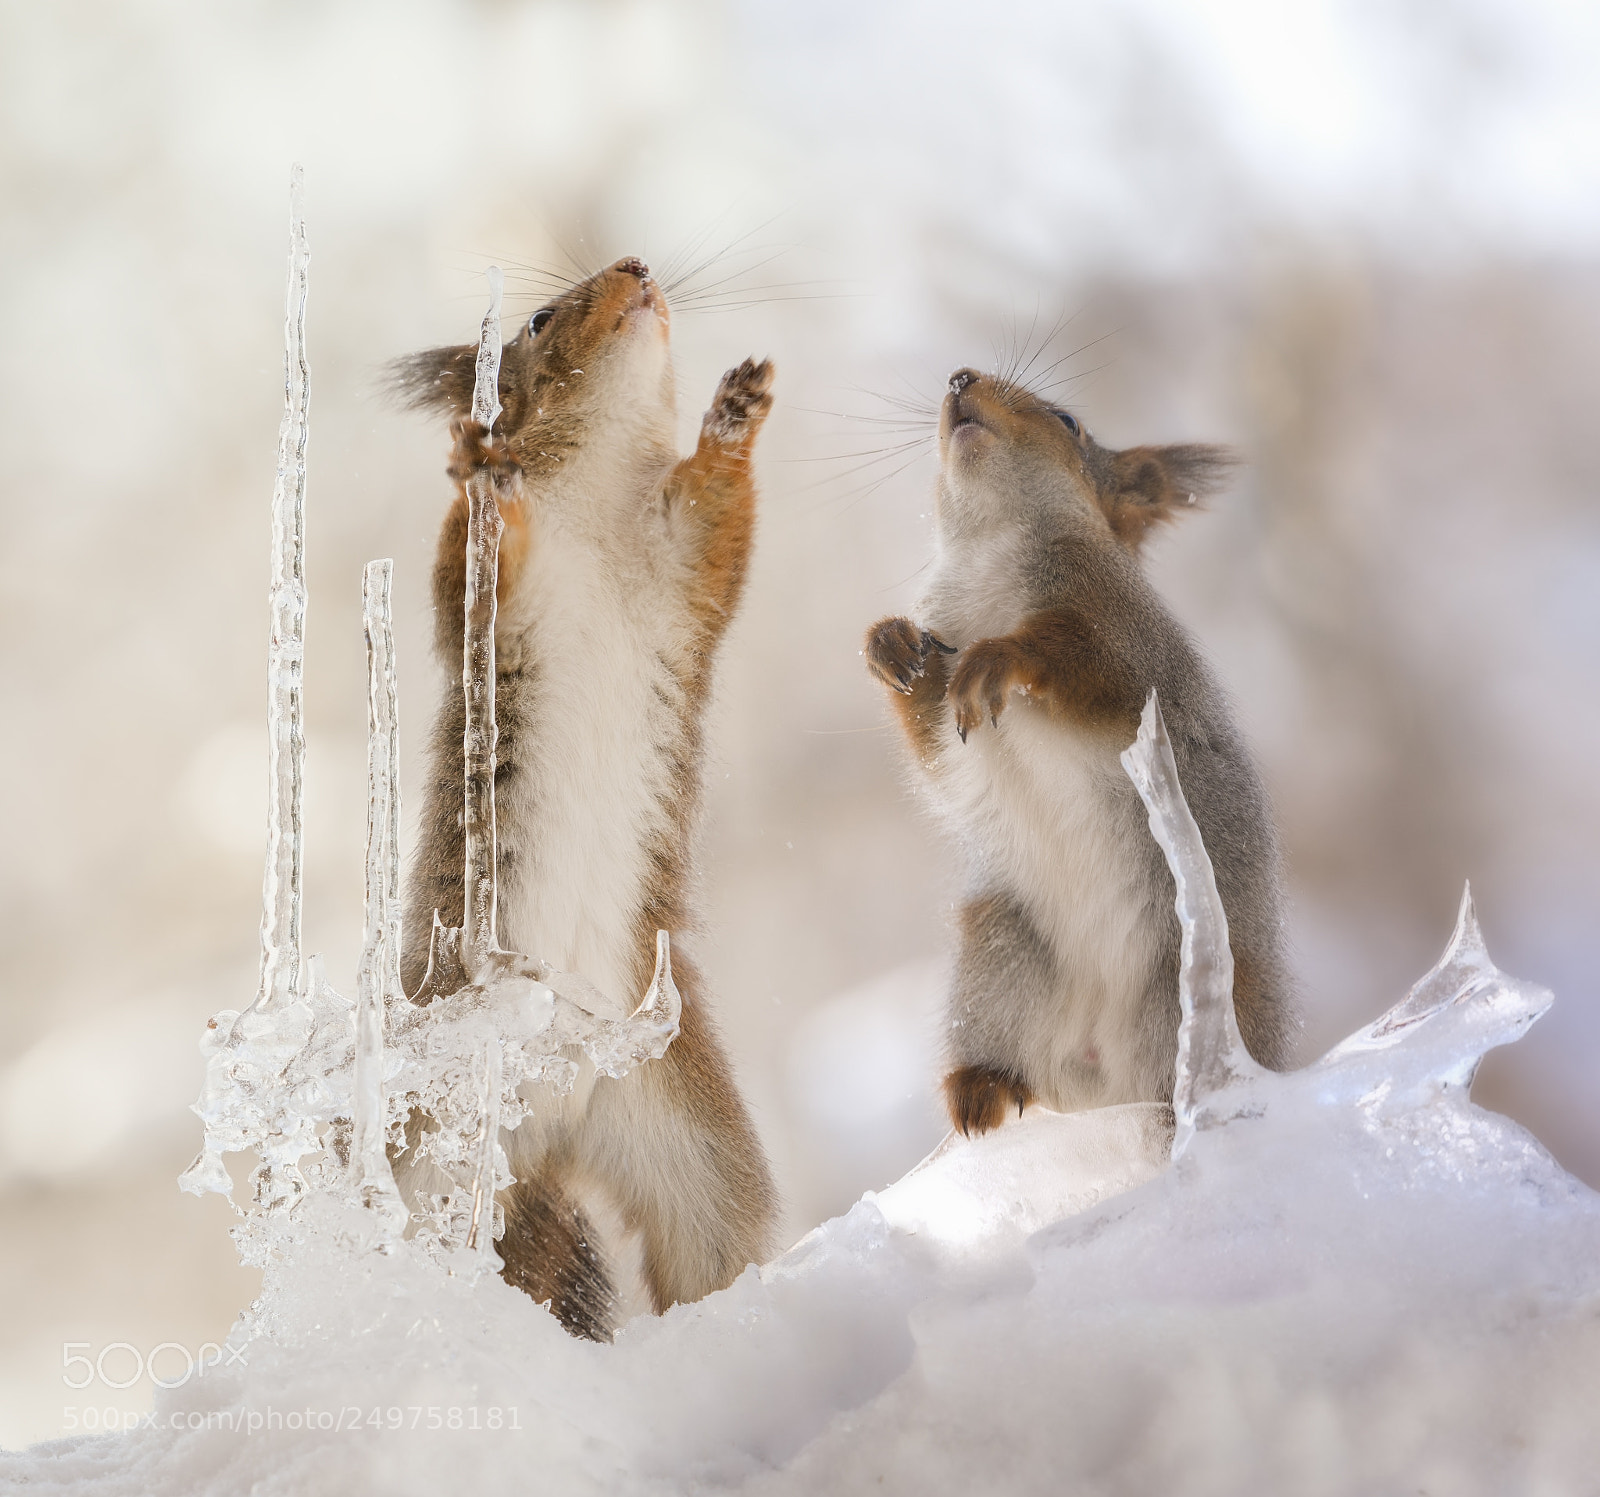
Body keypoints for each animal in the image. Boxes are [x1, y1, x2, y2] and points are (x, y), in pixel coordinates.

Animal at [390, 256, 777, 1340]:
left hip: (681, 1126)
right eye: (537, 318)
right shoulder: (486, 608)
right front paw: (485, 478)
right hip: (439, 1150)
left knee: (715, 1241)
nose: (639, 269)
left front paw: (736, 412)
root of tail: (550, 1129)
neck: (598, 483)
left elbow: (720, 518)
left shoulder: (682, 563)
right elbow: (467, 570)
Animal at [864, 367, 1294, 1138]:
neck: (989, 550)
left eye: (1067, 421)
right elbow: (934, 743)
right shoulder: (948, 709)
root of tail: (1104, 1081)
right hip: (1003, 948)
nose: (960, 377)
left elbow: (1084, 663)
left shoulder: (1122, 634)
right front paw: (888, 644)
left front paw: (998, 657)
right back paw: (983, 1086)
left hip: (1188, 987)